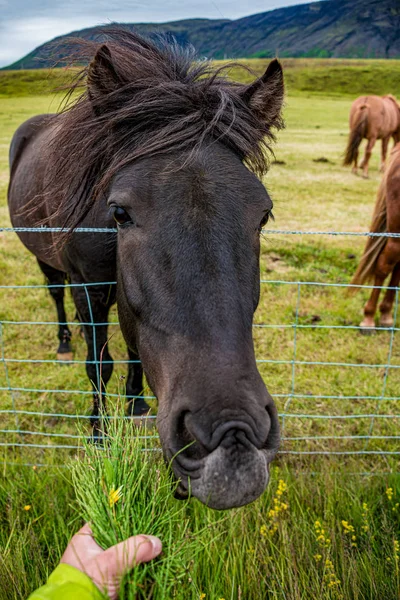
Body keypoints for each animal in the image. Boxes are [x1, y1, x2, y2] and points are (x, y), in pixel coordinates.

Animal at [8, 27, 284, 506]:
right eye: (119, 211)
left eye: (263, 214)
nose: (233, 438)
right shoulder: (89, 288)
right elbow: (99, 364)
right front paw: (98, 436)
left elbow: (136, 348)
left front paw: (136, 404)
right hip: (48, 262)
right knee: (55, 295)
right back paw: (63, 343)